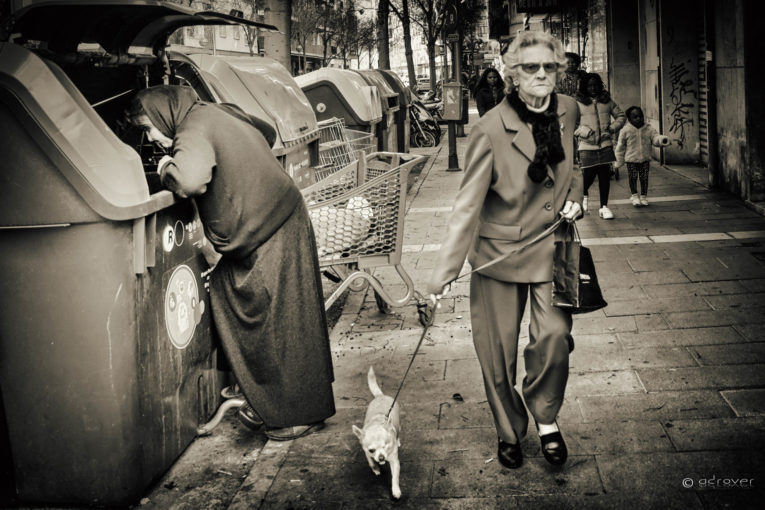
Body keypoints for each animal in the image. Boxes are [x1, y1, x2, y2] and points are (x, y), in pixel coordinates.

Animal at [350, 364, 400, 500]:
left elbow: (395, 477)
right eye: (372, 450)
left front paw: (396, 490)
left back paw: (398, 441)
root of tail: (379, 396)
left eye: (385, 446)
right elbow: (371, 463)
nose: (381, 457)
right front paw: (376, 469)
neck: (376, 424)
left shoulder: (394, 460)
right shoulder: (366, 452)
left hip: (399, 425)